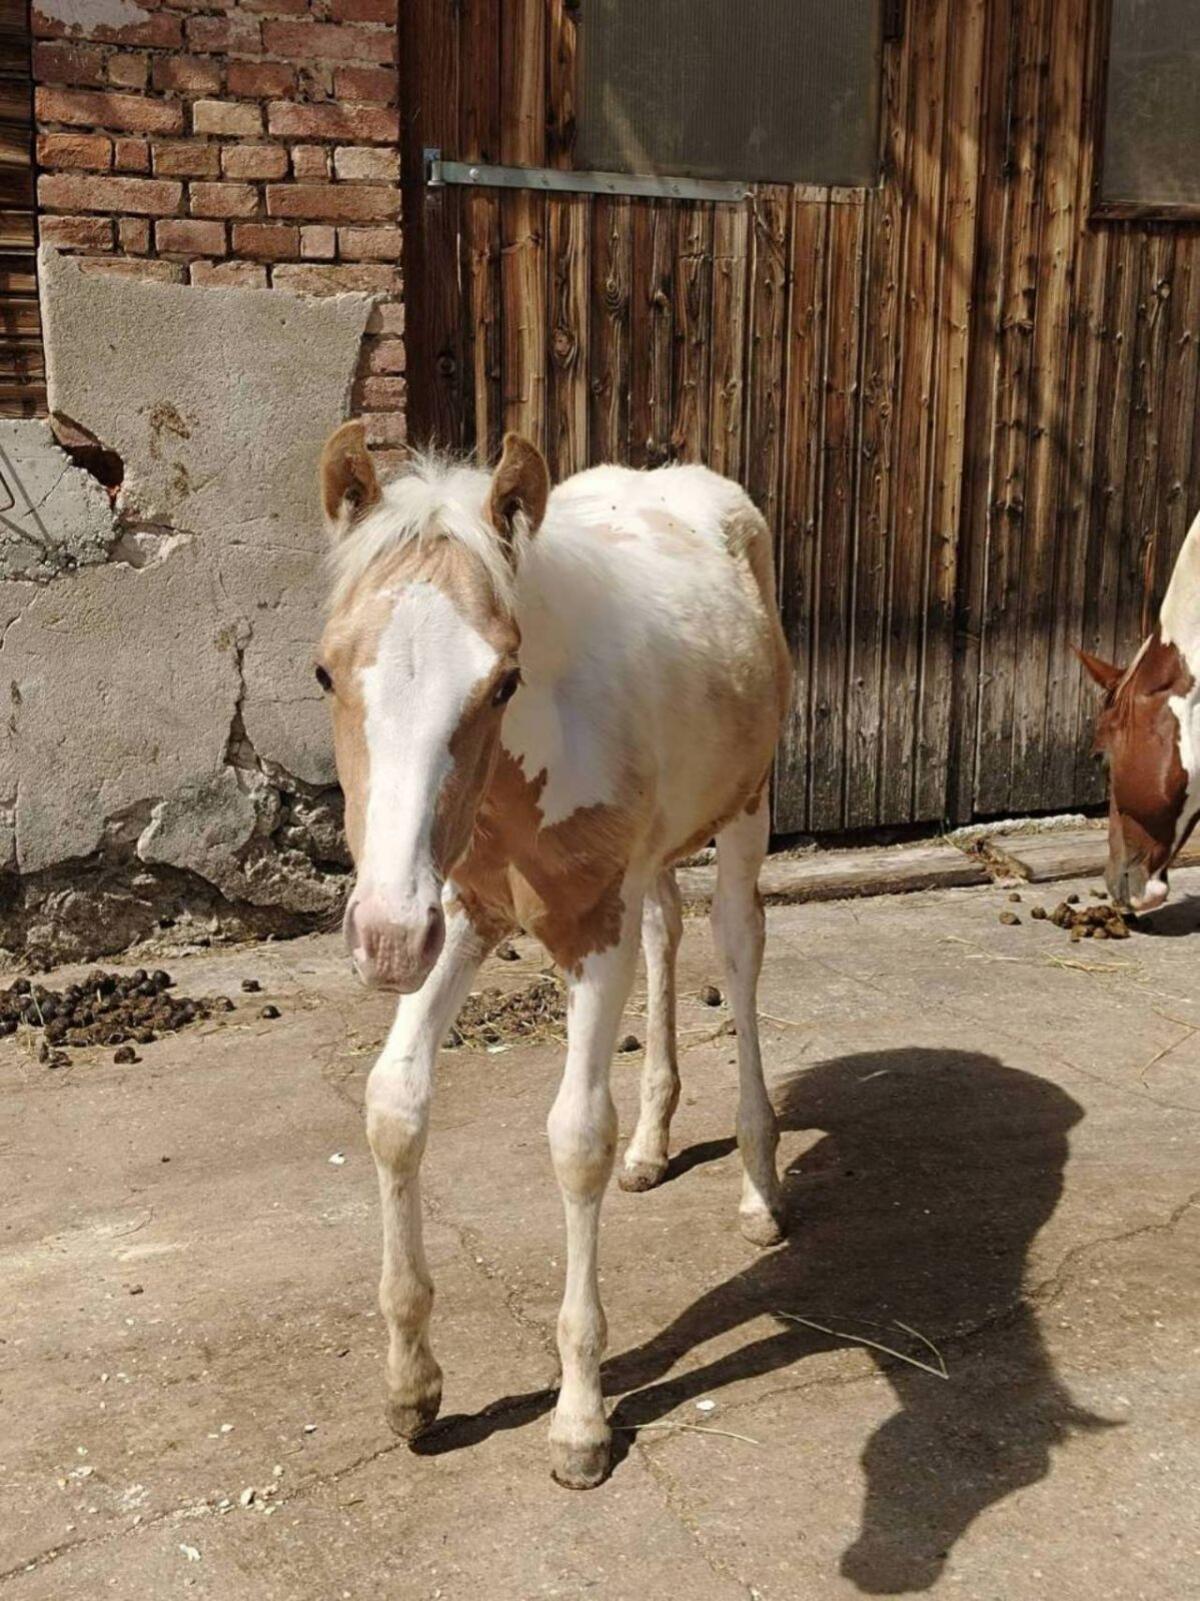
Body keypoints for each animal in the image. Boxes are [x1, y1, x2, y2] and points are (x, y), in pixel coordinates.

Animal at [315, 422, 793, 1488]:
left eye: (501, 680)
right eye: (325, 672)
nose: (384, 937)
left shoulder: (588, 931)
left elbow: (576, 1137)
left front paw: (580, 1419)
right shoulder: (463, 910)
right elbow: (393, 1104)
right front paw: (411, 1386)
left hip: (745, 810)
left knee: (737, 951)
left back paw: (758, 1185)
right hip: (653, 855)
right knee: (667, 927)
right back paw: (655, 1147)